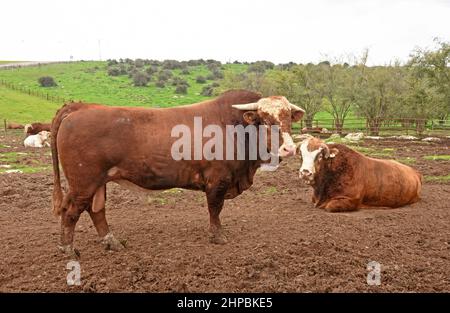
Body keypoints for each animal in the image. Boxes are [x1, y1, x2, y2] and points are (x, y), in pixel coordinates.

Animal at [51, 89, 306, 256]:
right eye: (264, 119)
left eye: (287, 117)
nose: (289, 148)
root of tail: (82, 107)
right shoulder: (217, 180)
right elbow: (215, 209)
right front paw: (218, 236)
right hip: (83, 182)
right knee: (71, 211)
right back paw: (68, 249)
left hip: (97, 182)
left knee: (96, 210)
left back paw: (111, 242)